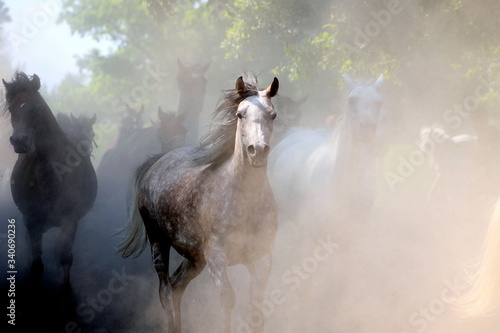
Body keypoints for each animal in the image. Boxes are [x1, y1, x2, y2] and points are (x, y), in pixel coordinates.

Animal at [2, 72, 96, 290]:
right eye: (11, 108)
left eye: (36, 107)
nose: (19, 141)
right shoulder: (31, 219)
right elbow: (37, 262)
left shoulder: (70, 219)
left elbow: (65, 256)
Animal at [119, 74, 280, 332]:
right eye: (240, 114)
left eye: (273, 114)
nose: (257, 151)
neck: (244, 200)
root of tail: (156, 163)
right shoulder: (216, 256)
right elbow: (228, 299)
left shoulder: (261, 258)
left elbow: (256, 310)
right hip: (159, 241)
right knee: (165, 291)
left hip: (195, 259)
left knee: (176, 287)